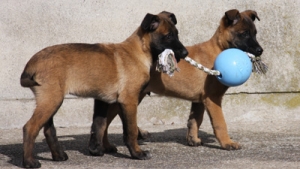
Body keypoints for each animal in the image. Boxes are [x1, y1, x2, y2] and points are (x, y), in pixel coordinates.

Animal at [19, 10, 188, 168]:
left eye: (177, 34)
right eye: (168, 36)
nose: (185, 53)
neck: (139, 51)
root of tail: (31, 63)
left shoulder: (103, 99)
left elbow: (99, 124)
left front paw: (96, 150)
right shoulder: (129, 101)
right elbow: (130, 130)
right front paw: (137, 153)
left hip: (50, 100)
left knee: (48, 129)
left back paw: (58, 156)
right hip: (51, 100)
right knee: (30, 127)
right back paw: (29, 161)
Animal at [90, 8, 264, 155]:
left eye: (255, 33)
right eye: (244, 34)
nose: (260, 50)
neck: (218, 49)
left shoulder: (200, 100)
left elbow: (195, 119)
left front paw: (193, 139)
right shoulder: (212, 99)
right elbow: (220, 123)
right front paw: (227, 143)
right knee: (105, 122)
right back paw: (106, 146)